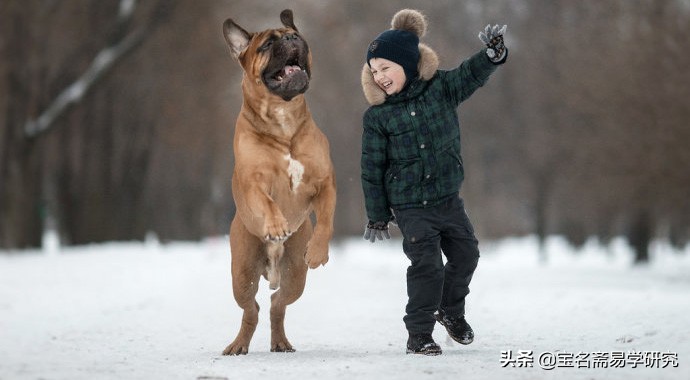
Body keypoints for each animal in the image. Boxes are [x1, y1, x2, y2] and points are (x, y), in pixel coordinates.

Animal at [220, 10, 336, 354]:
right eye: (267, 44)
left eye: (296, 36)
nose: (293, 38)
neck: (283, 114)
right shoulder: (252, 181)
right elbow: (267, 202)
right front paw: (275, 225)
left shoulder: (325, 183)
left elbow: (326, 219)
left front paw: (319, 251)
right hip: (242, 273)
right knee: (251, 308)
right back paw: (238, 346)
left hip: (295, 275)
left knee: (276, 303)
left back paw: (280, 341)